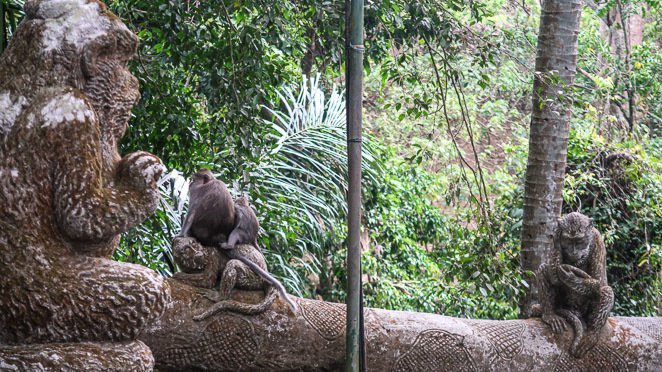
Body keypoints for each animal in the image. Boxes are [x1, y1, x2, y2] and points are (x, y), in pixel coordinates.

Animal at [536, 214, 616, 358]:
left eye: (579, 241)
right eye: (568, 241)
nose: (574, 252)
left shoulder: (598, 241)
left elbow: (598, 282)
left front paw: (570, 277)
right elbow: (554, 277)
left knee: (606, 290)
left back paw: (592, 334)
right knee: (543, 268)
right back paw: (550, 315)